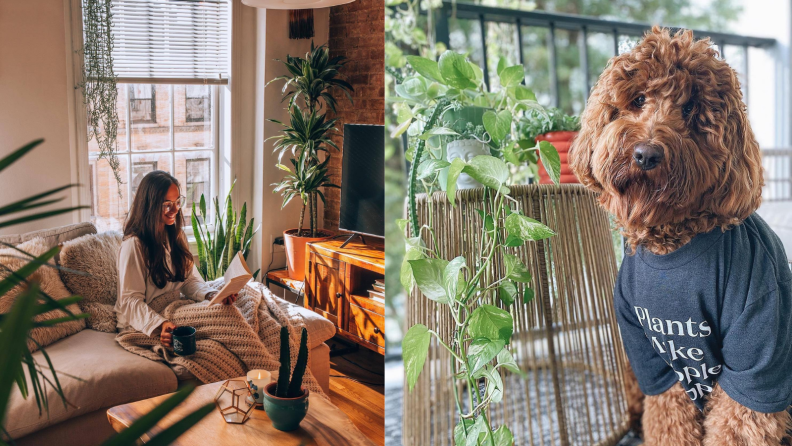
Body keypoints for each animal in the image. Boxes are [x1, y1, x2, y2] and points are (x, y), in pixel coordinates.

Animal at [572, 27, 792, 446]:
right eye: (638, 99)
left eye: (689, 110)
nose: (646, 154)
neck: (673, 243)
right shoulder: (652, 359)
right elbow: (667, 418)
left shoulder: (760, 342)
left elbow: (739, 419)